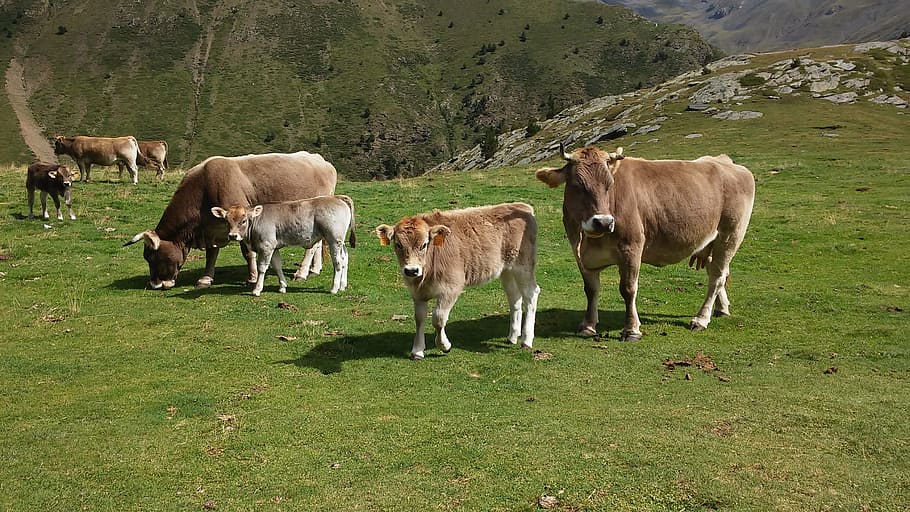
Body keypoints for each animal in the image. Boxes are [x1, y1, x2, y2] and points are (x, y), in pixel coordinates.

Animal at [124, 151, 337, 290]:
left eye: (154, 257)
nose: (154, 284)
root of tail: (320, 160)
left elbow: (248, 252)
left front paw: (252, 278)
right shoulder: (212, 228)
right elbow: (211, 254)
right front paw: (205, 278)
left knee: (311, 246)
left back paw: (302, 273)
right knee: (318, 242)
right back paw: (315, 269)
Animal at [211, 195, 356, 296]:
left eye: (243, 220)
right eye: (227, 221)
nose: (232, 236)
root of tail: (336, 197)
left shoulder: (266, 246)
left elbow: (262, 268)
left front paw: (257, 289)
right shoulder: (274, 247)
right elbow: (277, 266)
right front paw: (282, 286)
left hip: (334, 239)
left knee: (338, 262)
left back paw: (334, 288)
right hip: (340, 241)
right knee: (345, 258)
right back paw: (343, 285)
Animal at [375, 203, 540, 360]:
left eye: (424, 244)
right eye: (398, 244)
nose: (411, 270)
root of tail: (522, 206)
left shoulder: (451, 288)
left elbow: (438, 318)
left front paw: (444, 345)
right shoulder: (417, 293)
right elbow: (419, 318)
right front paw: (417, 351)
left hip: (523, 266)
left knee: (531, 294)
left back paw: (526, 340)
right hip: (507, 270)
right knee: (514, 298)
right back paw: (512, 336)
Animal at [535, 144, 755, 340]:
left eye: (609, 185)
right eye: (578, 185)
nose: (604, 222)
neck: (590, 241)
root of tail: (725, 162)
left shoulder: (631, 246)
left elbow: (628, 289)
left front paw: (632, 330)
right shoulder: (580, 253)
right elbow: (591, 290)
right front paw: (588, 326)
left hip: (730, 235)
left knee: (717, 277)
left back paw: (701, 319)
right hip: (712, 241)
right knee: (717, 273)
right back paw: (721, 309)